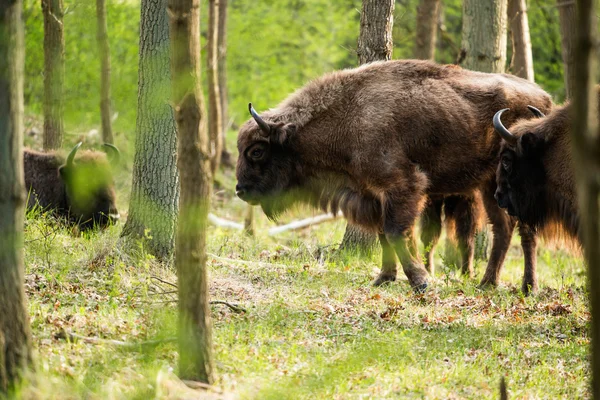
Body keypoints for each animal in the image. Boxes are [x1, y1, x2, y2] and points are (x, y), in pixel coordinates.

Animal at [236, 58, 552, 290]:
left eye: (256, 151)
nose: (240, 190)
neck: (349, 116)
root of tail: (545, 98)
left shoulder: (403, 187)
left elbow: (396, 233)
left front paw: (421, 281)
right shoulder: (373, 195)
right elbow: (384, 235)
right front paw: (383, 278)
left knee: (525, 232)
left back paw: (528, 287)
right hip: (489, 185)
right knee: (503, 228)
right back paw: (488, 283)